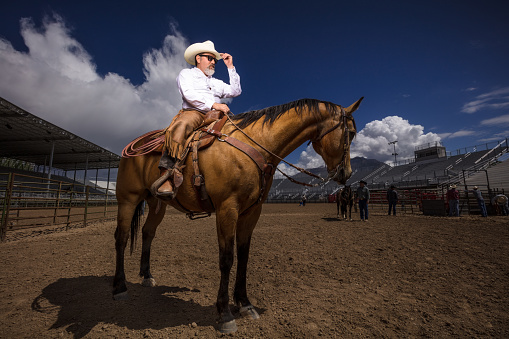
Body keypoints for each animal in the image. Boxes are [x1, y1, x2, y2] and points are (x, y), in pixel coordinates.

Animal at [113, 97, 364, 334]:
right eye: (351, 133)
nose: (346, 173)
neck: (254, 144)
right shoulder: (227, 208)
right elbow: (227, 259)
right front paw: (225, 313)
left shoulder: (251, 212)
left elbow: (243, 257)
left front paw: (245, 304)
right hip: (128, 200)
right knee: (121, 238)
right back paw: (119, 287)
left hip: (157, 203)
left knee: (148, 233)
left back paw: (146, 275)